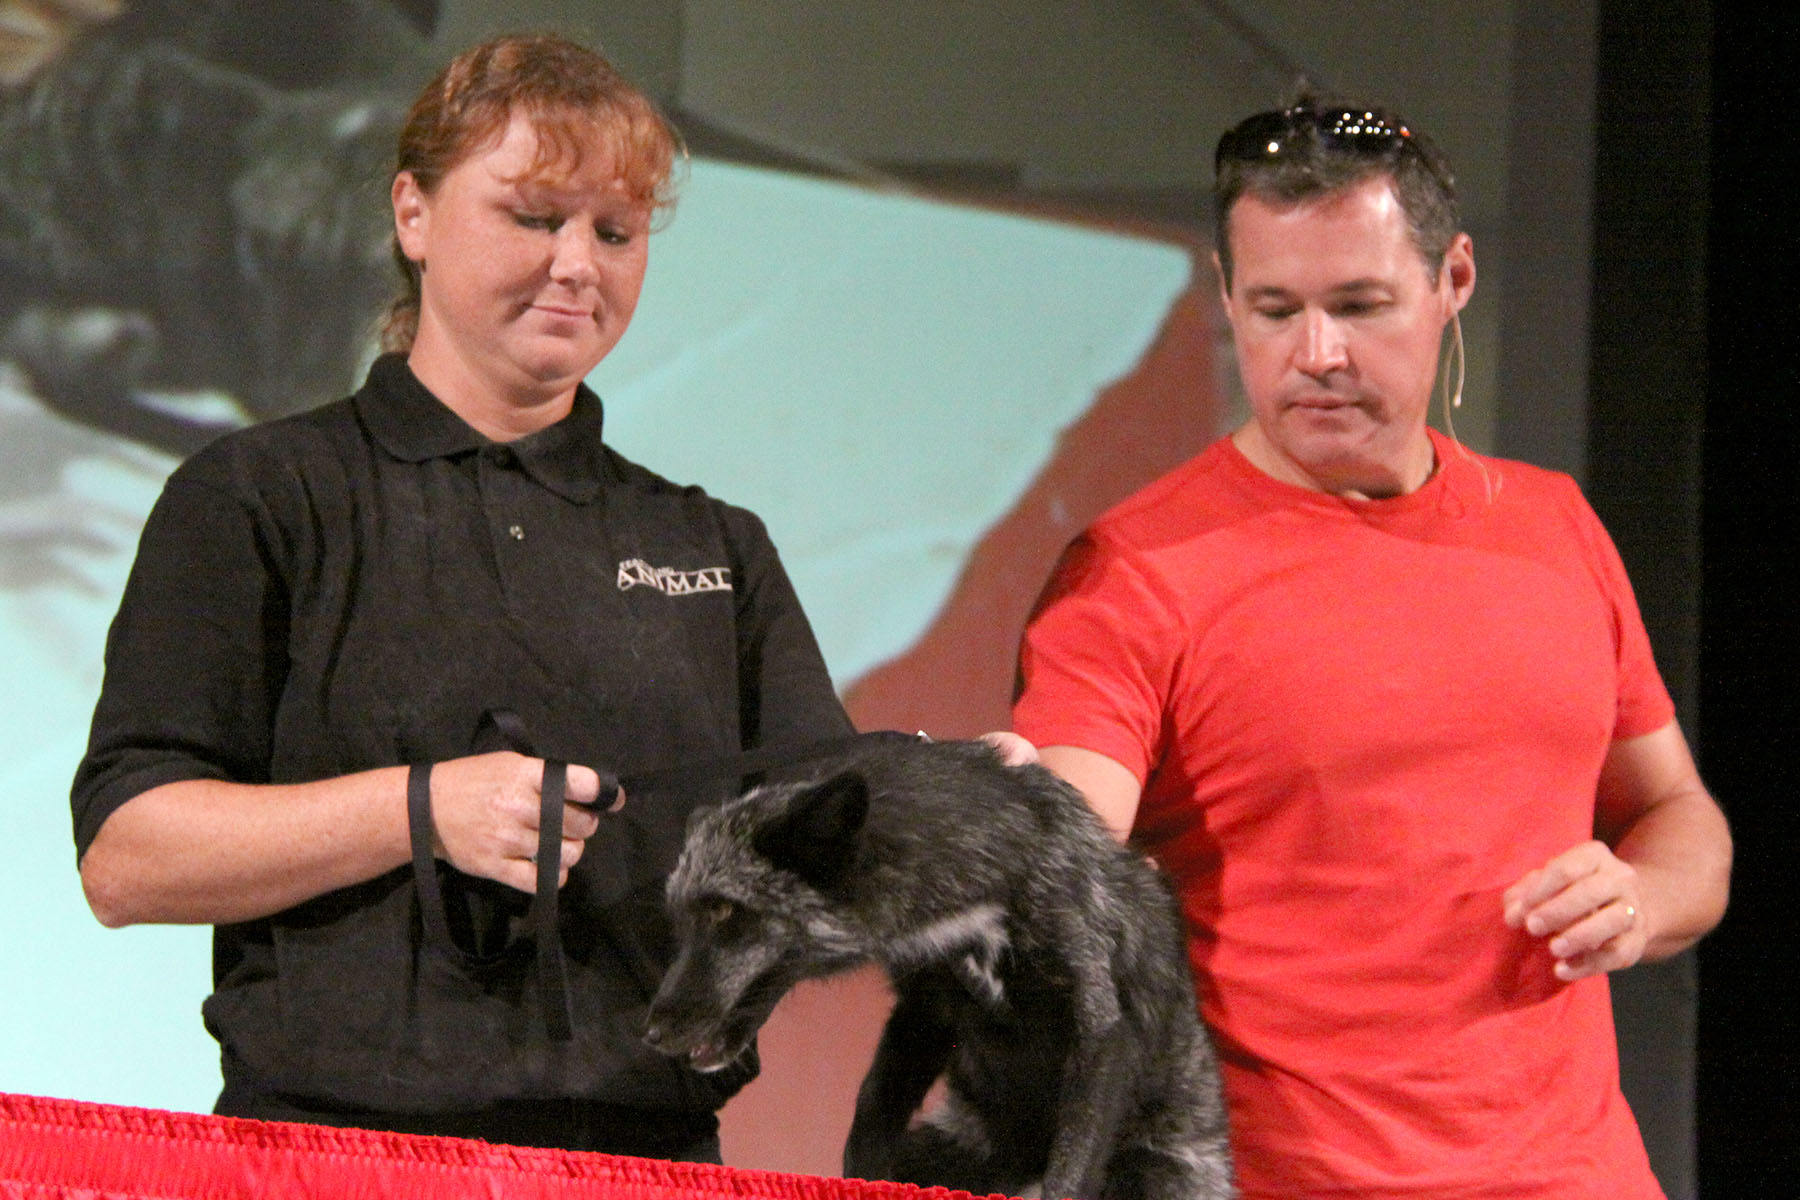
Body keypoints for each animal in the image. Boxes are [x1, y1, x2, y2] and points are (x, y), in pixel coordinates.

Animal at [644, 741, 1238, 1200]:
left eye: (723, 911)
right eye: (678, 917)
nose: (650, 1034)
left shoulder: (1096, 1028)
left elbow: (1070, 1176)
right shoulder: (923, 1015)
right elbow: (869, 1120)